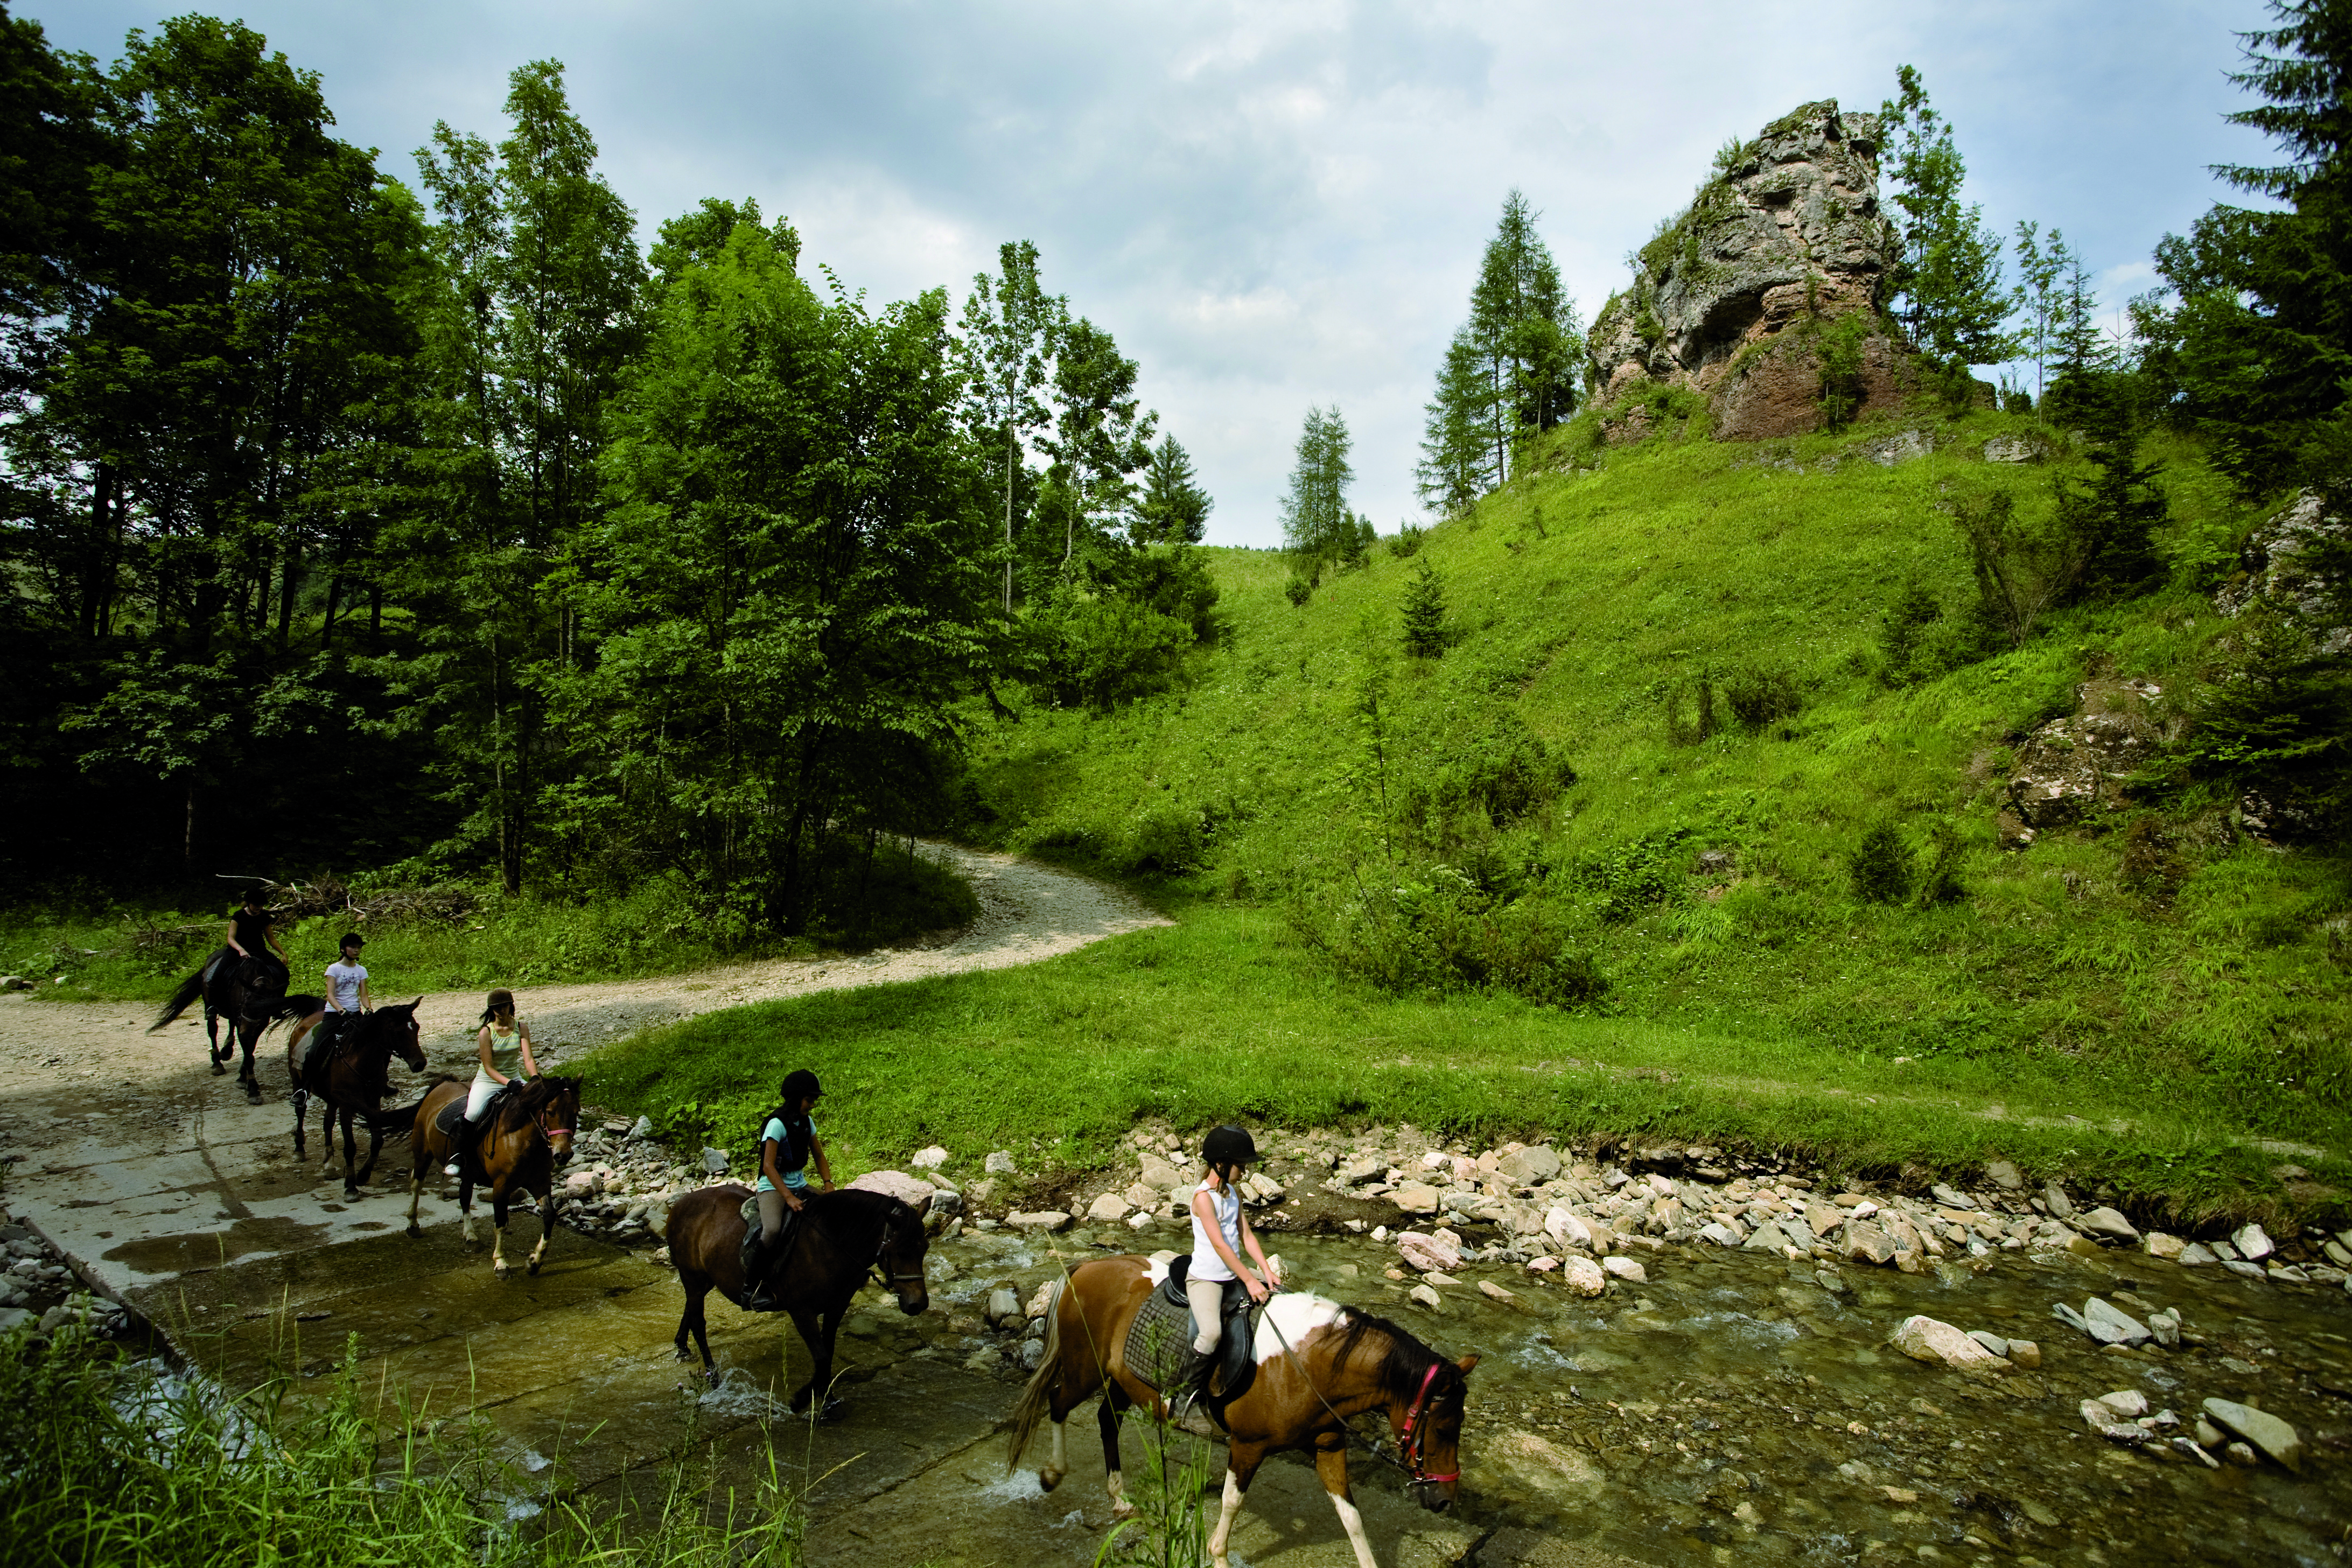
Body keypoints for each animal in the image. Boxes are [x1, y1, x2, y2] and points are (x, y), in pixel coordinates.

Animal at [147, 945, 308, 1104]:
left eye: (263, 1011)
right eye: (245, 1006)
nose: (245, 1032)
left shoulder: (256, 1026)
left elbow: (249, 1050)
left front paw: (244, 1078)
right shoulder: (243, 1022)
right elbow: (248, 1054)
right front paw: (253, 1090)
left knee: (231, 1026)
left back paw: (227, 1050)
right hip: (210, 1005)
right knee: (213, 1030)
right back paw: (217, 1063)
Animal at [278, 1006, 428, 1203]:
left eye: (416, 1028)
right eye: (398, 1032)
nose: (420, 1064)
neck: (362, 1061)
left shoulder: (373, 1104)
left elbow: (377, 1141)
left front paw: (363, 1175)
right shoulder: (346, 1106)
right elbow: (350, 1147)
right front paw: (351, 1187)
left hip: (332, 1099)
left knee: (328, 1122)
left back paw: (329, 1165)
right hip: (298, 1081)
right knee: (300, 1111)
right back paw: (299, 1150)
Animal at [400, 1072, 583, 1279]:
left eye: (576, 1112)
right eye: (550, 1112)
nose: (563, 1155)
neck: (524, 1139)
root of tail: (443, 1084)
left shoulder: (540, 1181)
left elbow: (550, 1216)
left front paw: (534, 1262)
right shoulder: (501, 1185)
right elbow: (501, 1222)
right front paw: (501, 1263)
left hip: (468, 1172)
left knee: (464, 1197)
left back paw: (470, 1236)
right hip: (422, 1154)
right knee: (417, 1184)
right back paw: (413, 1225)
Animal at [668, 1185, 931, 1419]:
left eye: (925, 1248)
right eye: (899, 1252)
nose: (918, 1304)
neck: (828, 1245)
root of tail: (681, 1203)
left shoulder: (837, 1307)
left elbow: (827, 1355)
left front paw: (827, 1401)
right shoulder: (801, 1312)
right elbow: (822, 1358)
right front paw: (803, 1400)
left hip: (706, 1279)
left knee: (689, 1310)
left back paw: (682, 1347)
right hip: (692, 1277)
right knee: (699, 1324)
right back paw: (714, 1379)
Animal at [1006, 1260, 1477, 1568]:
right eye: (1444, 1428)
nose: (1445, 1501)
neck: (1306, 1366)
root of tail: (1085, 1268)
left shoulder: (1329, 1447)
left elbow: (1352, 1518)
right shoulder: (1249, 1447)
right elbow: (1232, 1503)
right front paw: (1218, 1555)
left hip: (1122, 1381)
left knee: (1107, 1421)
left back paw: (1120, 1500)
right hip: (1084, 1367)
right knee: (1058, 1404)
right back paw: (1053, 1475)